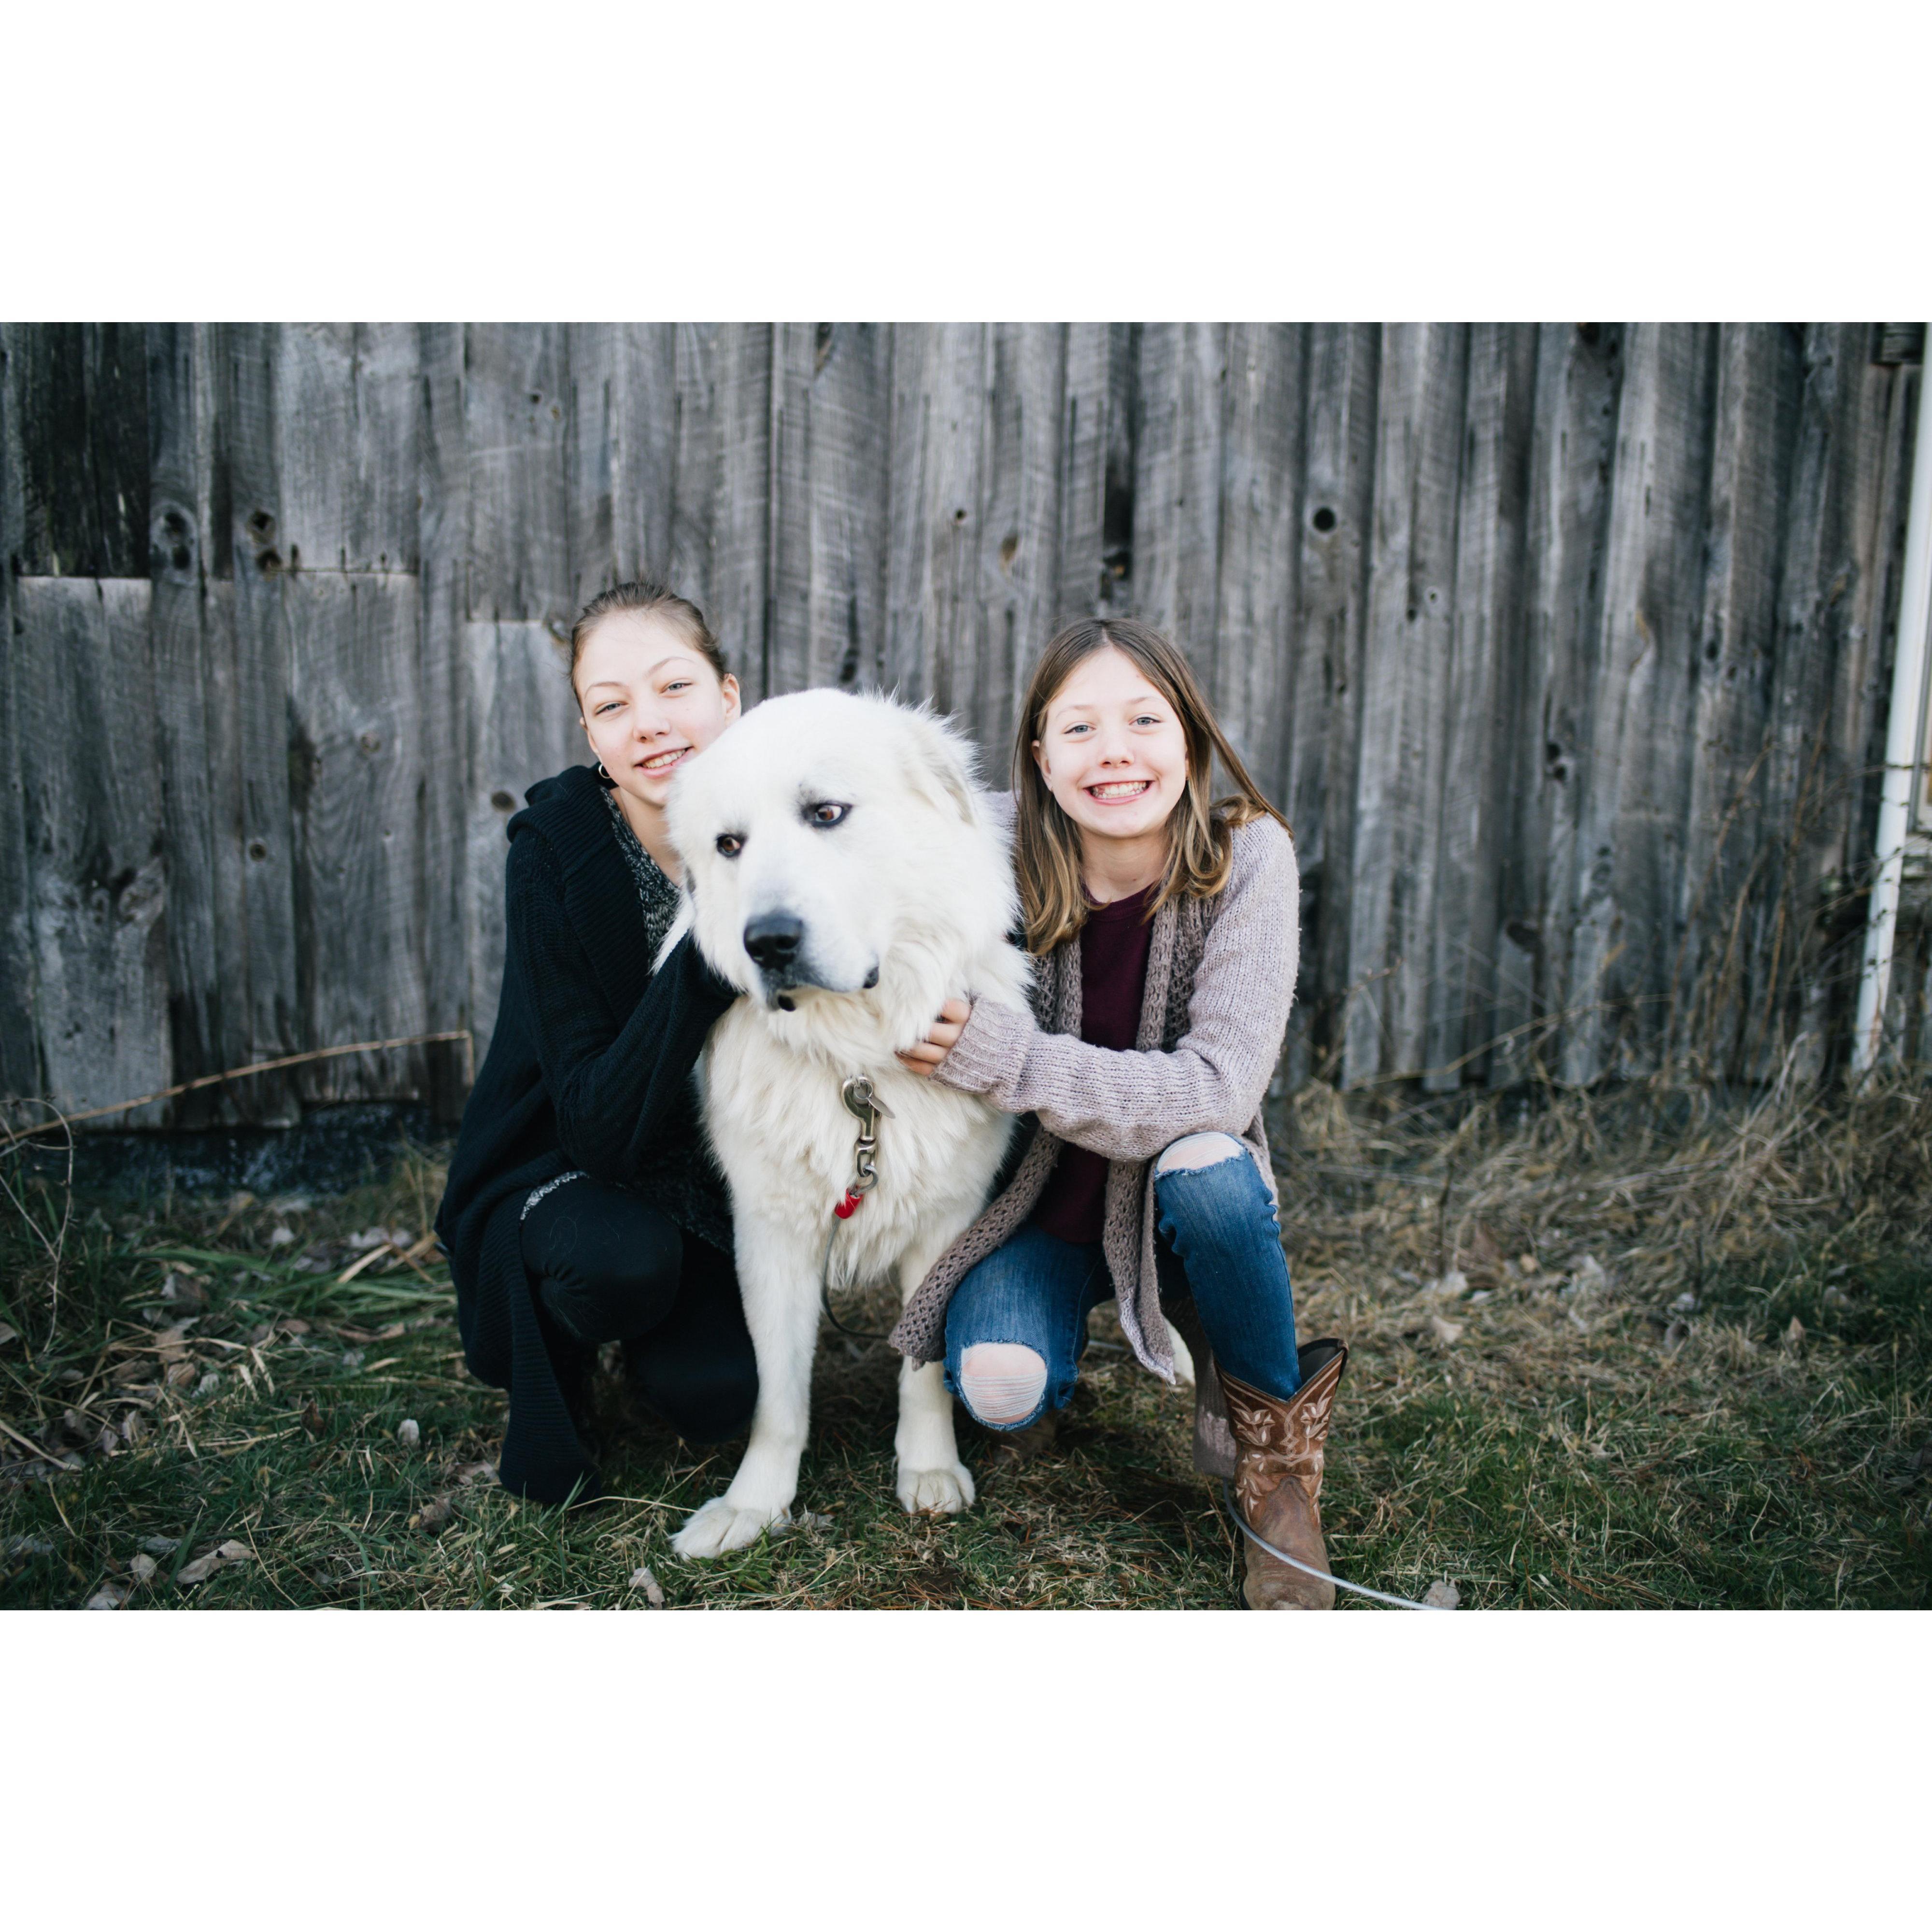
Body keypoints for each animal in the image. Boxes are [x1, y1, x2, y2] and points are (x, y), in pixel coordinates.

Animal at [661, 688, 1036, 1561]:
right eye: (729, 845)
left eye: (826, 813)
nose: (768, 942)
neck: (856, 1060)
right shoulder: (771, 1238)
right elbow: (776, 1397)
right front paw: (754, 1505)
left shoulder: (947, 1224)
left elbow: (923, 1371)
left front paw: (928, 1470)